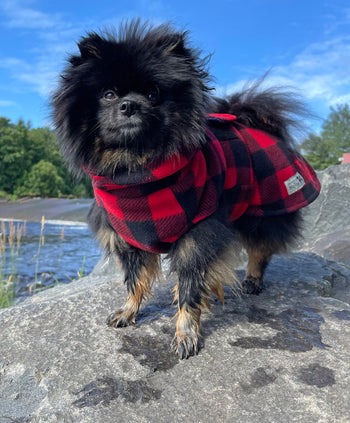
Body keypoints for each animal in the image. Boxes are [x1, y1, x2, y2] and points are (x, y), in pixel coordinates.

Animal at [51, 19, 320, 358]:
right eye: (109, 94)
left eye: (152, 93)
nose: (129, 105)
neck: (139, 174)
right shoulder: (128, 236)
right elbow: (135, 279)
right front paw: (129, 311)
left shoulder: (197, 234)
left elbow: (190, 288)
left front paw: (186, 333)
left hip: (263, 209)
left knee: (262, 247)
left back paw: (253, 279)